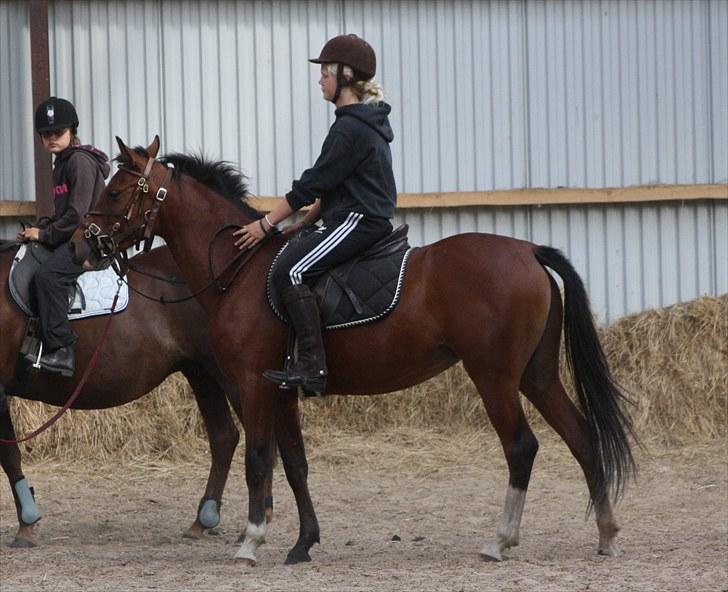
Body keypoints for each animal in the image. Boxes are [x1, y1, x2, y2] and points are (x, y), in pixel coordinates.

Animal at [0, 244, 272, 544]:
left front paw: (26, 524)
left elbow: (8, 456)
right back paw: (205, 520)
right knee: (225, 436)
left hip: (234, 376)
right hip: (201, 373)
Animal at [71, 136, 636, 568]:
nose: (81, 244)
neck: (239, 270)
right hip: (536, 375)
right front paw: (303, 543)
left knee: (522, 447)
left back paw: (499, 541)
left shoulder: (252, 384)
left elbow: (258, 459)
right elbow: (295, 463)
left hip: (495, 377)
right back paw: (607, 533)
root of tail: (528, 251)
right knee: (582, 437)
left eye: (116, 190)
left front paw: (251, 541)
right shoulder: (284, 390)